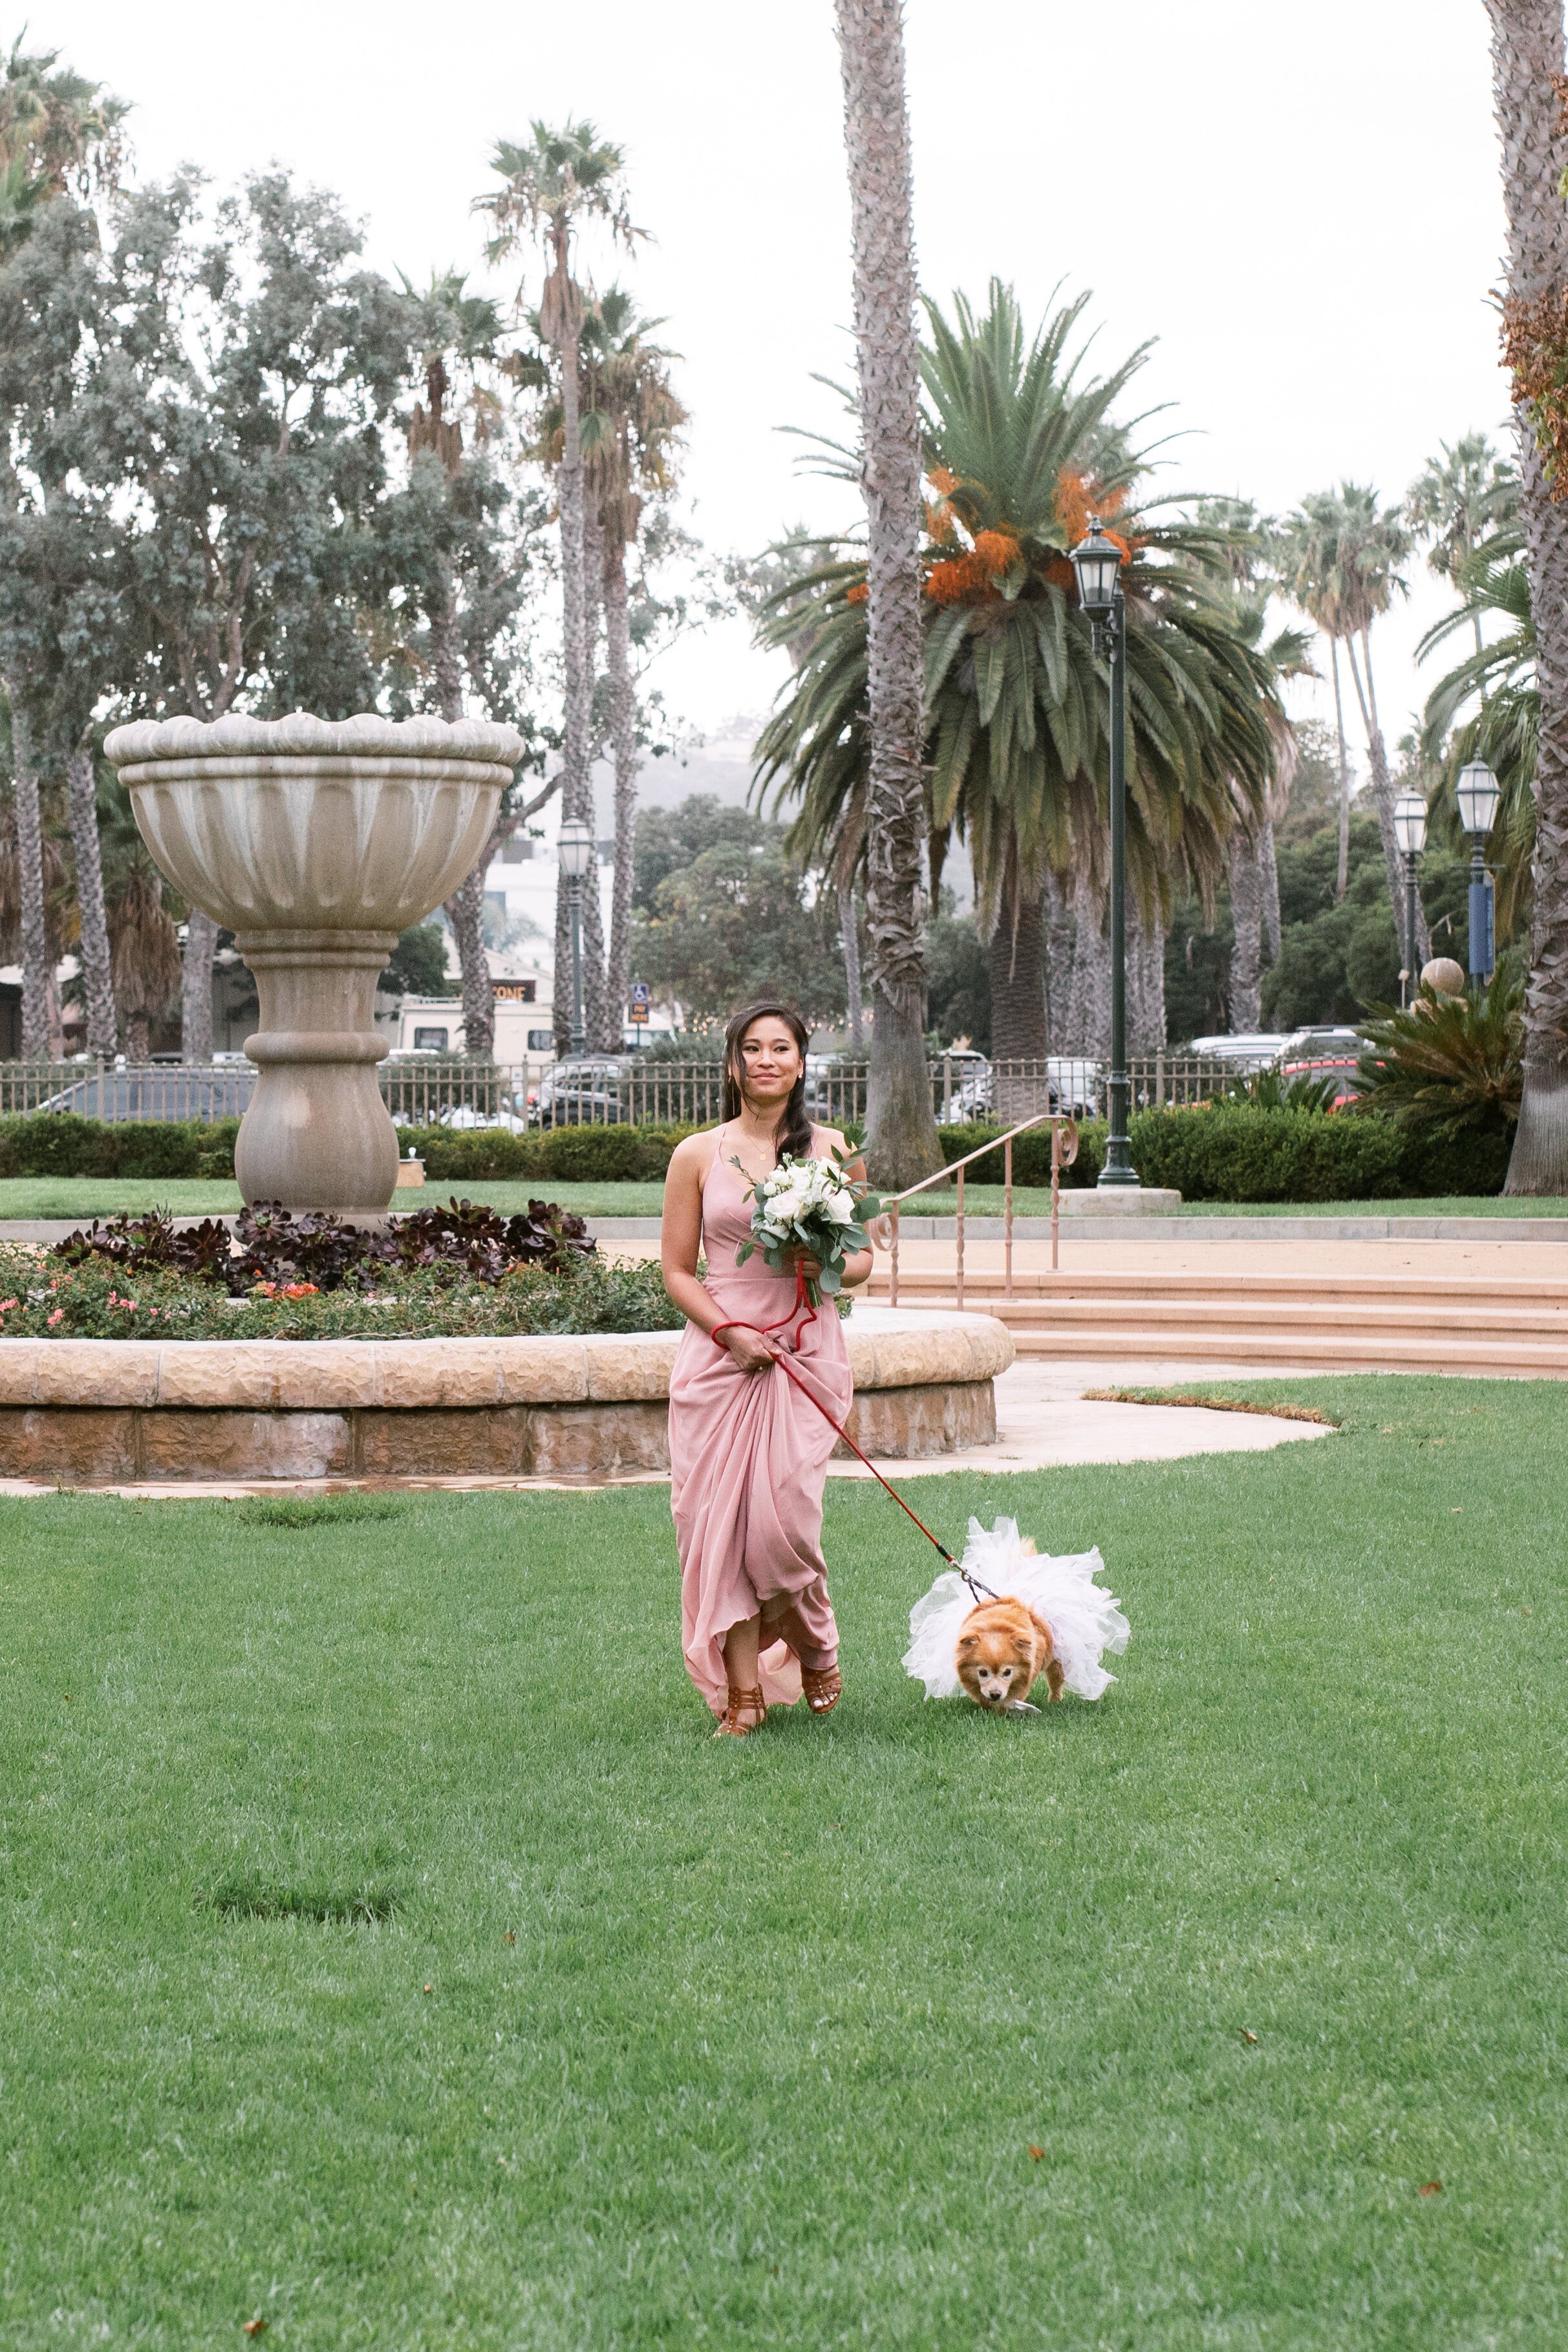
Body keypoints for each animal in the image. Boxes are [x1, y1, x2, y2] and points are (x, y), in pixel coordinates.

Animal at [959, 1590, 1067, 1721]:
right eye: (983, 1673)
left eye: (1007, 1672)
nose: (995, 1694)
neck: (997, 1625)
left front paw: (1003, 1712)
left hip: (1057, 1663)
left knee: (1056, 1682)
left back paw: (1054, 1701)